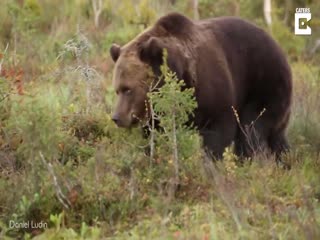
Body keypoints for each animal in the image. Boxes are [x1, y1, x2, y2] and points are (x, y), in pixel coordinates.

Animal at [110, 12, 292, 159]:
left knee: (251, 130)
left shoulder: (213, 91)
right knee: (277, 138)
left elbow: (218, 133)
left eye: (128, 89)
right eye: (117, 90)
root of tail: (279, 47)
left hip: (264, 84)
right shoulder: (159, 114)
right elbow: (155, 136)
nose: (116, 117)